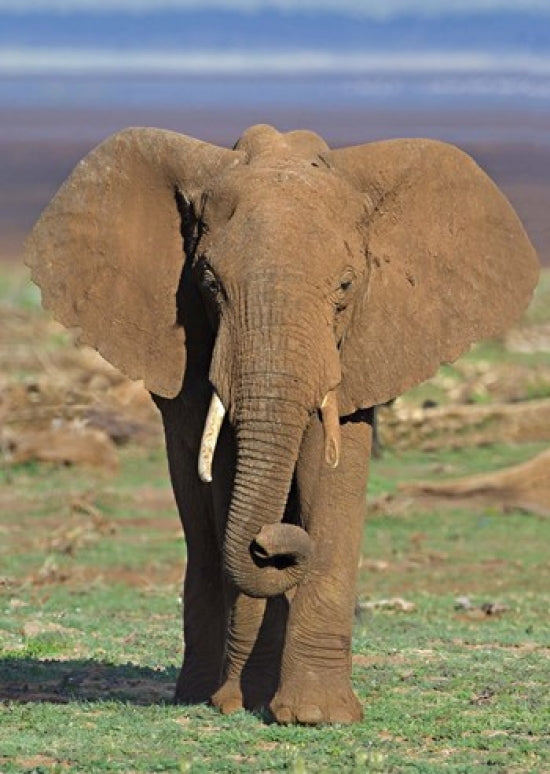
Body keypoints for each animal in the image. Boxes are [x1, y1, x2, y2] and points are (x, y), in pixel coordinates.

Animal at [25, 123, 539, 724]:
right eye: (208, 283)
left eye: (346, 287)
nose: (272, 546)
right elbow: (225, 476)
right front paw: (241, 703)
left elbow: (332, 476)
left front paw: (318, 715)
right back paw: (200, 694)